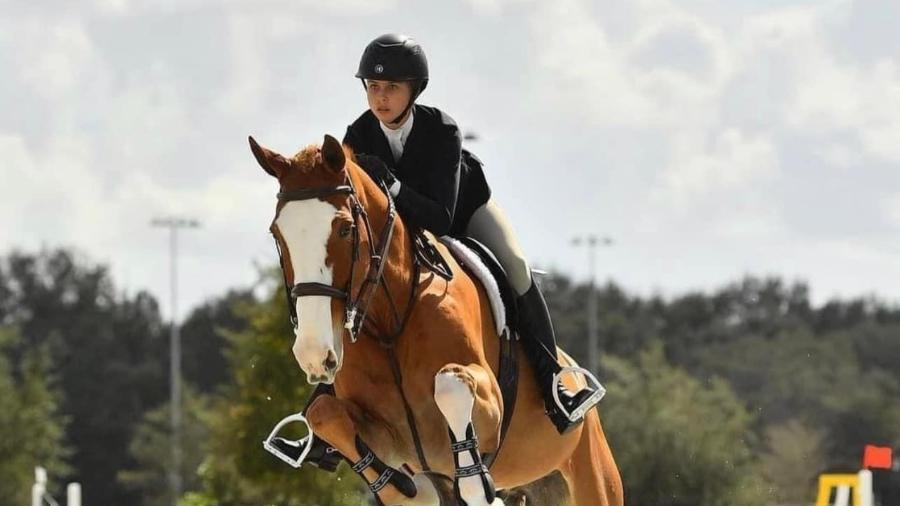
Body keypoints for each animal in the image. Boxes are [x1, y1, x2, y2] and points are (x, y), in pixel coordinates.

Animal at [250, 134, 624, 506]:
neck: (390, 325)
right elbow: (324, 413)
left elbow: (450, 382)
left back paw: (567, 399)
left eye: (345, 229)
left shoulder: (491, 402)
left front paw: (474, 483)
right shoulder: (384, 434)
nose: (314, 354)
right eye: (276, 234)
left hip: (593, 477)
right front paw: (400, 488)